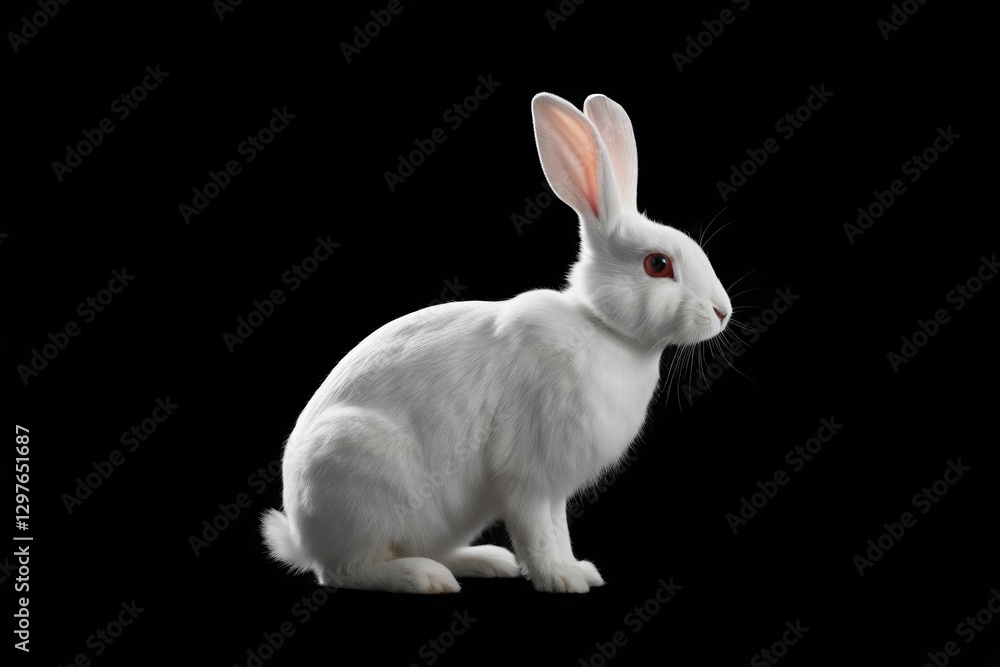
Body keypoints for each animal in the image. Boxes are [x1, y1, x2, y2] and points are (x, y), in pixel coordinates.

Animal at [261, 92, 731, 593]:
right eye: (658, 265)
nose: (723, 312)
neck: (602, 327)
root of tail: (302, 535)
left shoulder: (552, 490)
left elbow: (557, 529)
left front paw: (577, 570)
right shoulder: (526, 476)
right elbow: (536, 531)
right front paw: (559, 579)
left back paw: (485, 561)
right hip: (361, 479)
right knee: (345, 570)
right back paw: (425, 577)